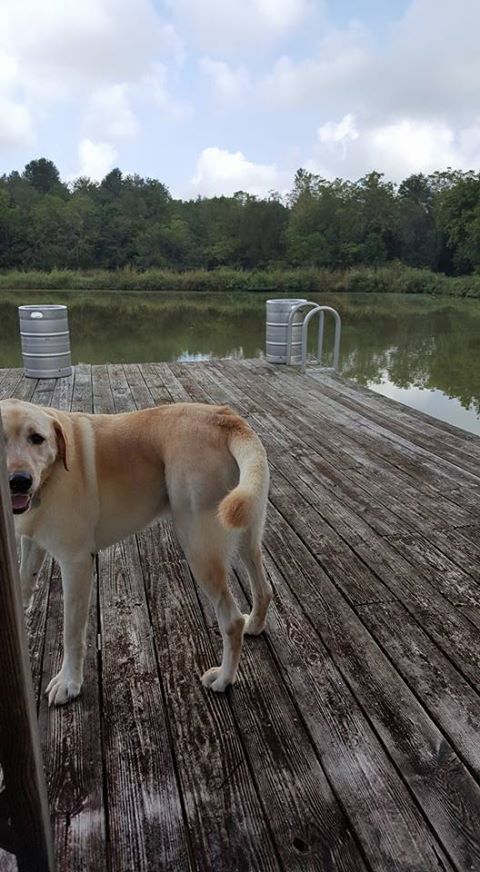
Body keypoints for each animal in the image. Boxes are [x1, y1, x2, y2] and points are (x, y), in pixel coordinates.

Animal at [0, 398, 272, 704]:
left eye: (37, 438)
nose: (19, 481)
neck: (51, 474)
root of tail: (224, 417)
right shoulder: (32, 542)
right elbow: (24, 582)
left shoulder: (75, 563)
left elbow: (71, 633)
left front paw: (69, 681)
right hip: (247, 530)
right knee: (263, 587)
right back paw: (255, 624)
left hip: (199, 547)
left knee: (232, 621)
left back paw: (224, 678)